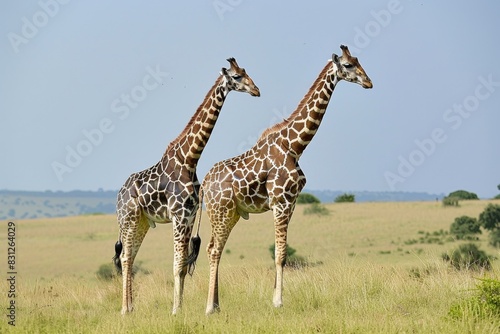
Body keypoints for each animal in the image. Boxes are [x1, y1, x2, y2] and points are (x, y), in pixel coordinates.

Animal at [113, 58, 260, 316]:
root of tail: (118, 195)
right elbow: (177, 264)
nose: (256, 90)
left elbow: (182, 265)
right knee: (125, 257)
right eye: (237, 76)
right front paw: (175, 310)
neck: (190, 159)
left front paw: (178, 308)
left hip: (141, 222)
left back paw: (131, 307)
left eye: (246, 72)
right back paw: (124, 310)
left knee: (130, 258)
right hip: (128, 219)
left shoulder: (189, 216)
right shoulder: (179, 215)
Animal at [193, 44, 374, 314]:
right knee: (214, 250)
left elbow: (282, 253)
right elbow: (280, 254)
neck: (295, 146)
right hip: (220, 211)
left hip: (230, 213)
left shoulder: (292, 203)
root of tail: (204, 185)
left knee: (214, 248)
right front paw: (278, 302)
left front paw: (275, 298)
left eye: (358, 60)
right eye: (349, 65)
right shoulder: (280, 201)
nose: (369, 82)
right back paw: (209, 308)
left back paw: (216, 303)